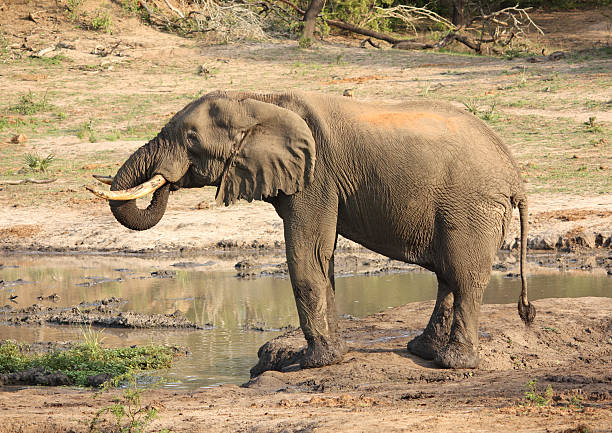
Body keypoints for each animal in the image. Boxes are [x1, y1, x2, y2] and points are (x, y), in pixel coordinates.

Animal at [87, 89, 536, 372]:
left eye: (192, 138)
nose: (167, 179)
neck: (259, 101)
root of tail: (516, 175)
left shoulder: (316, 176)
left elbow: (307, 254)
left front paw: (310, 364)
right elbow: (323, 257)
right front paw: (332, 355)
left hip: (473, 206)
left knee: (464, 276)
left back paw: (451, 363)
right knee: (447, 274)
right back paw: (422, 350)